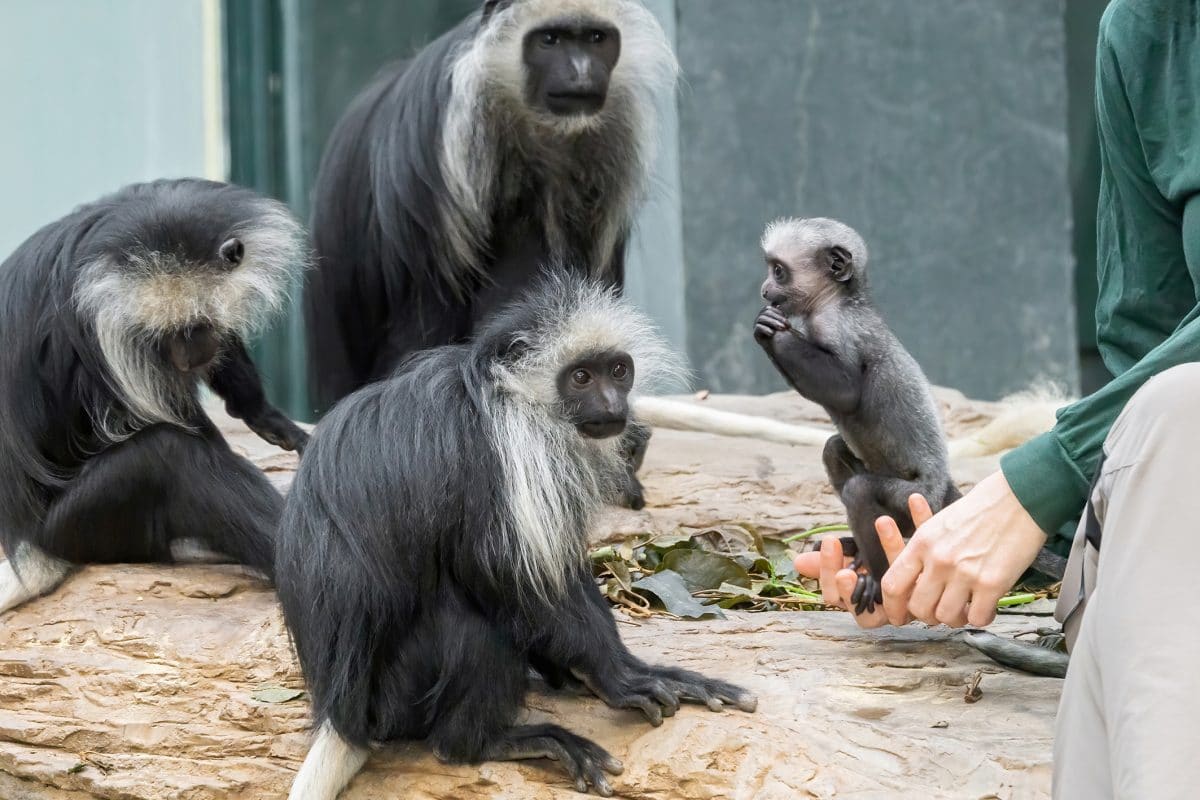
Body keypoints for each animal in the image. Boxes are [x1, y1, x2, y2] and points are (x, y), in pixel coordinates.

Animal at [0, 176, 312, 614]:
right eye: (168, 334)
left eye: (196, 326)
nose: (187, 357)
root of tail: (28, 538)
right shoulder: (108, 328)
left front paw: (265, 415)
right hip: (77, 523)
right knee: (169, 455)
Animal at [276, 275, 753, 800]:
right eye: (581, 378)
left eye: (618, 371)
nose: (613, 407)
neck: (501, 387)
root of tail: (346, 718)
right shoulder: (508, 448)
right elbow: (509, 575)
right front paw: (621, 676)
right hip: (402, 688)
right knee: (473, 621)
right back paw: (488, 741)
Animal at [748, 220, 955, 618]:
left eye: (778, 272)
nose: (764, 290)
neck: (836, 300)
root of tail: (942, 488)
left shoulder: (837, 326)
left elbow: (846, 391)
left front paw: (771, 331)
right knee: (833, 448)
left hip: (915, 498)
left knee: (859, 491)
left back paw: (876, 576)